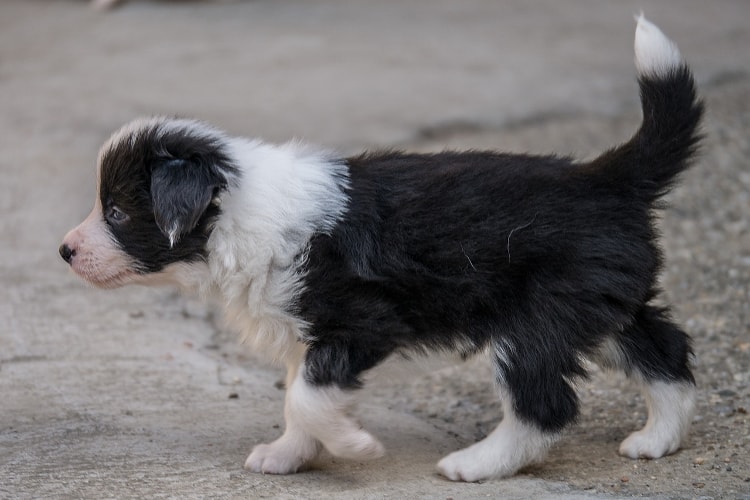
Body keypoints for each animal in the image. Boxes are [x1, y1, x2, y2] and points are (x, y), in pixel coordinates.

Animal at [60, 17, 704, 482]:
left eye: (116, 213)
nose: (64, 250)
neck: (236, 213)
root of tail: (606, 178)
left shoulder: (362, 322)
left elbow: (308, 397)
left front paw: (355, 445)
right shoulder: (306, 334)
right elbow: (298, 396)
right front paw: (288, 454)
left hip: (536, 320)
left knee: (544, 403)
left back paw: (476, 465)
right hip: (604, 301)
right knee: (664, 350)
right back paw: (658, 440)